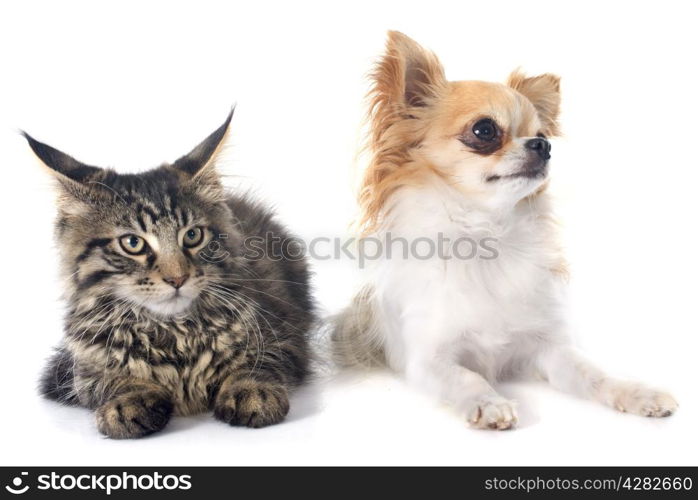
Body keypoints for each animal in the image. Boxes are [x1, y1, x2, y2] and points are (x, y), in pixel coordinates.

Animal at [24, 110, 312, 438]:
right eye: (132, 243)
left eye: (193, 236)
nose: (177, 279)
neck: (174, 332)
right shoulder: (82, 365)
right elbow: (106, 381)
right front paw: (128, 400)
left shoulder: (284, 337)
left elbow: (258, 364)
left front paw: (251, 391)